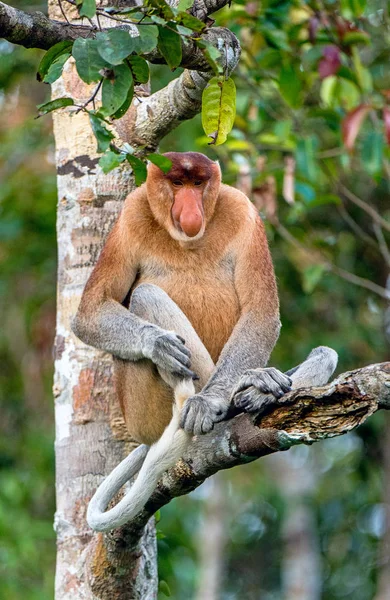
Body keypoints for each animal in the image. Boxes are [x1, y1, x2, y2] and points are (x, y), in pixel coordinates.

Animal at [73, 151, 338, 528]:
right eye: (177, 183)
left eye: (198, 183)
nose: (190, 208)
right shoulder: (129, 216)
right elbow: (90, 311)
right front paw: (161, 348)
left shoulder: (242, 211)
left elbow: (260, 311)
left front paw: (216, 399)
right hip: (142, 414)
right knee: (146, 294)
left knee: (326, 353)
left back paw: (250, 390)